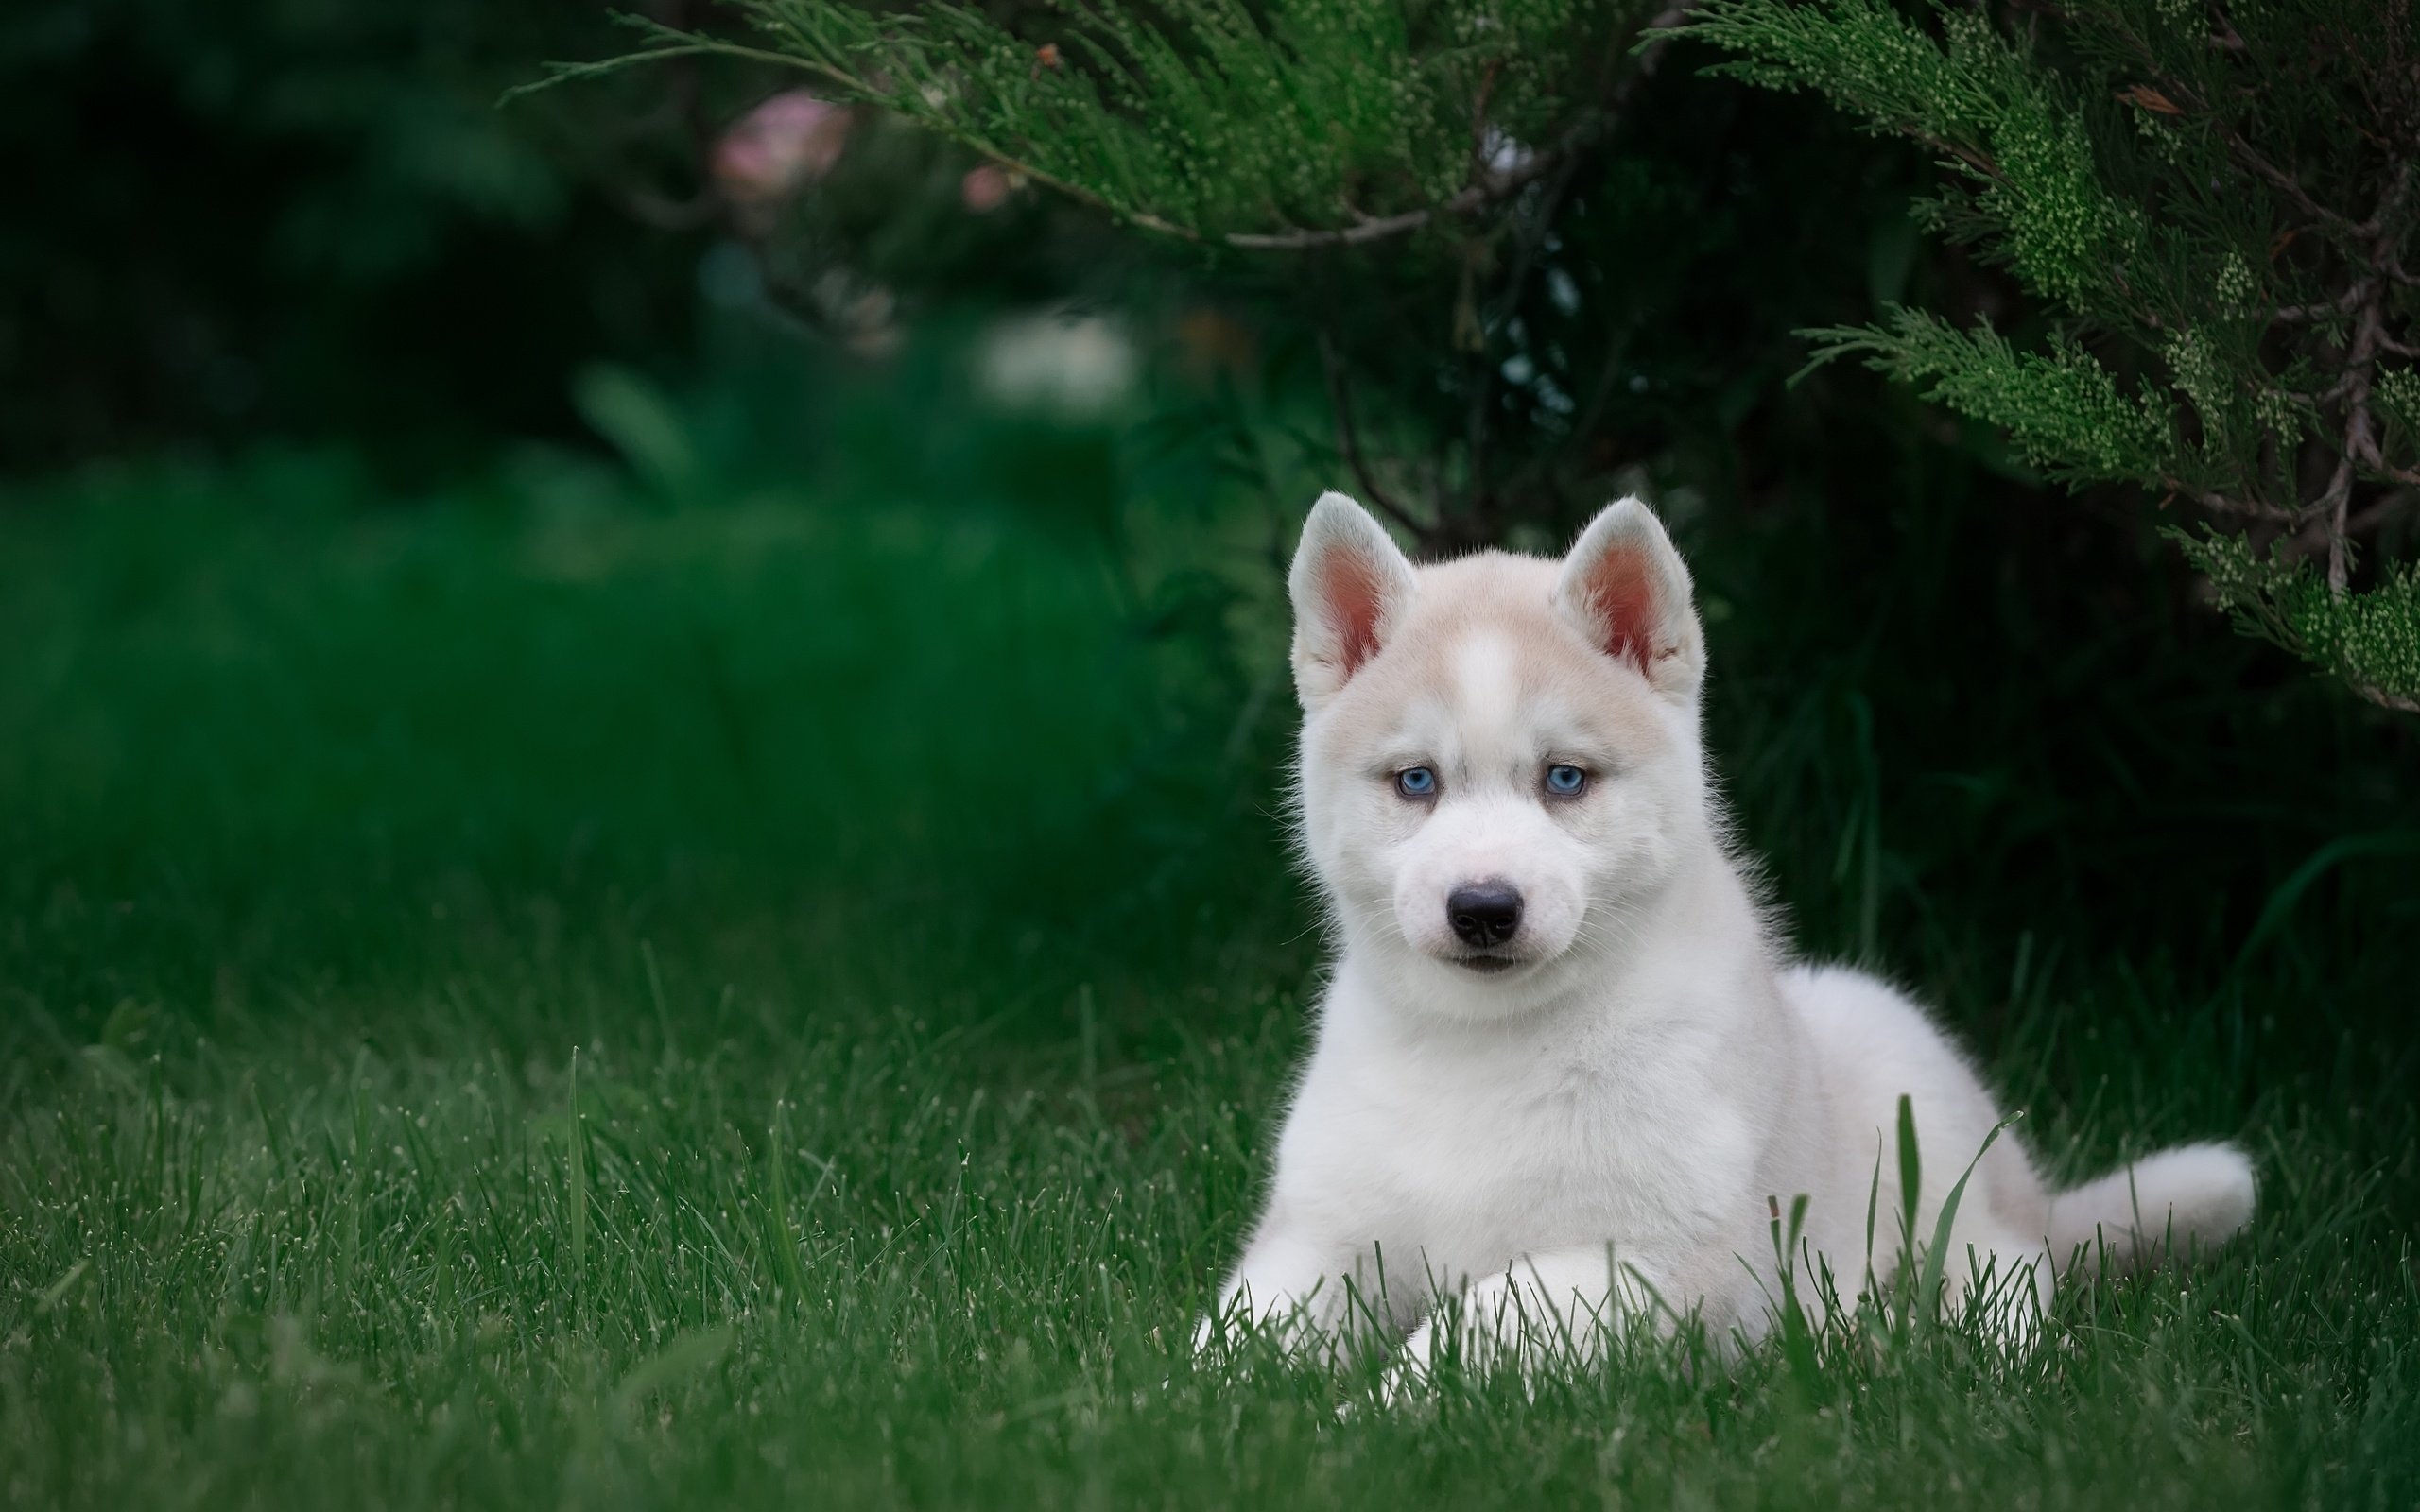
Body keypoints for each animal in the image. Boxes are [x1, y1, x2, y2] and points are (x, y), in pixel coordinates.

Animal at [1219, 493, 2255, 1383]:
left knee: (2004, 1276)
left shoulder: (1648, 1258)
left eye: (1564, 778)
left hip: (1906, 1085)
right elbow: (1229, 1338)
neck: (1485, 1047)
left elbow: (1467, 1332)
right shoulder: (1319, 1233)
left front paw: (1370, 1411)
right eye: (1416, 781)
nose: (1482, 906)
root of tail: (2032, 1196)